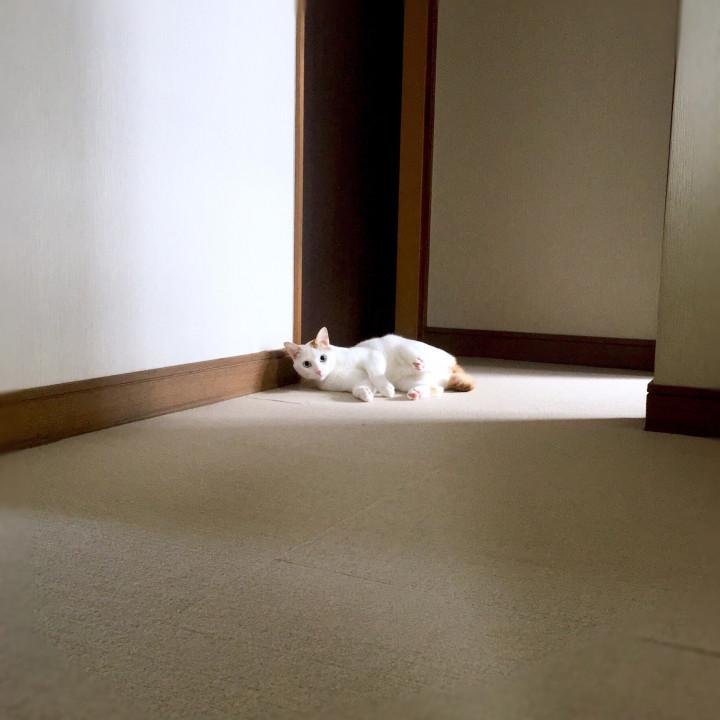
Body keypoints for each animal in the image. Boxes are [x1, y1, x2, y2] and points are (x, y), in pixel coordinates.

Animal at [283, 327, 475, 401]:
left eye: (323, 358)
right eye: (307, 364)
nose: (318, 371)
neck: (336, 370)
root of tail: (453, 366)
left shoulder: (372, 356)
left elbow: (376, 374)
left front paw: (386, 390)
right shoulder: (358, 381)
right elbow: (360, 387)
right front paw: (365, 395)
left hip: (402, 345)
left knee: (417, 358)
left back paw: (418, 363)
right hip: (409, 382)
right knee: (437, 389)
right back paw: (416, 393)